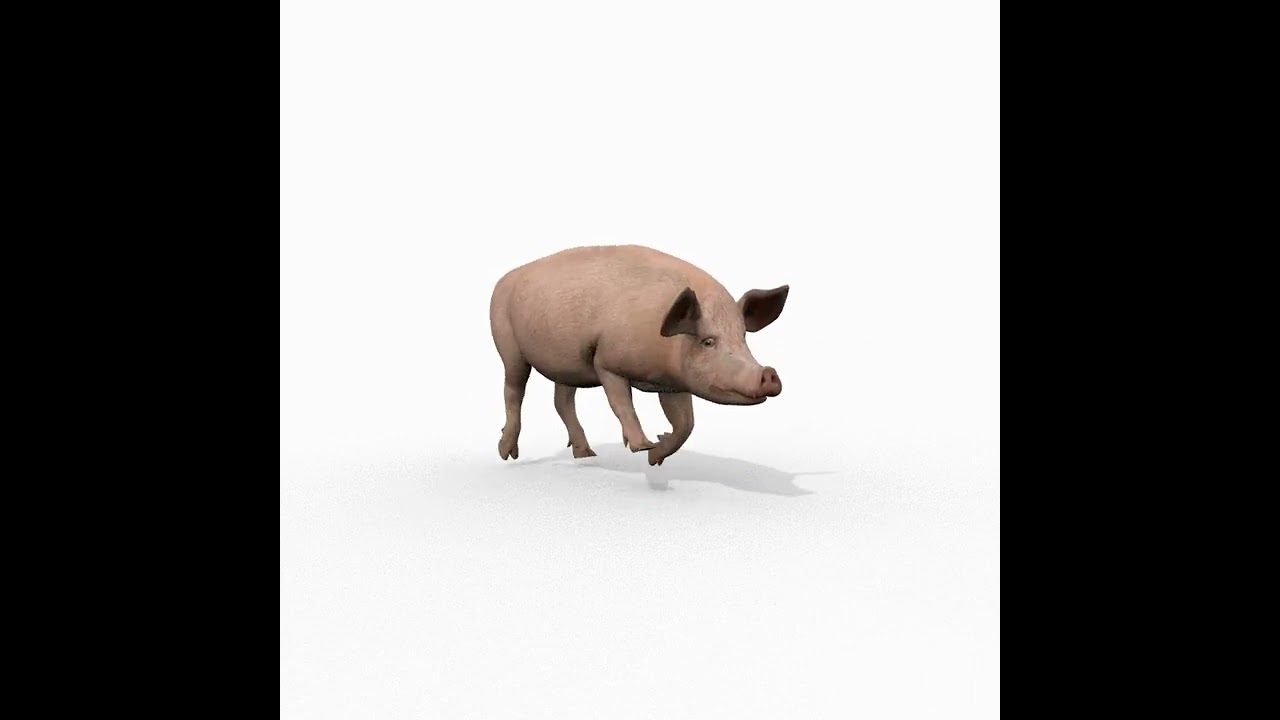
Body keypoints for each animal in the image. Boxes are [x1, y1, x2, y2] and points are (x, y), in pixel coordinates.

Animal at [489, 244, 789, 466]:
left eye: (743, 338)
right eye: (708, 341)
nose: (769, 373)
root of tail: (504, 278)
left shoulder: (673, 383)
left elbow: (686, 423)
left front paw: (654, 456)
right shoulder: (607, 362)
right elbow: (622, 404)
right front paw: (642, 446)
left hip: (567, 363)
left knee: (561, 400)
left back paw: (586, 455)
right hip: (507, 343)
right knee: (513, 390)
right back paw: (507, 454)